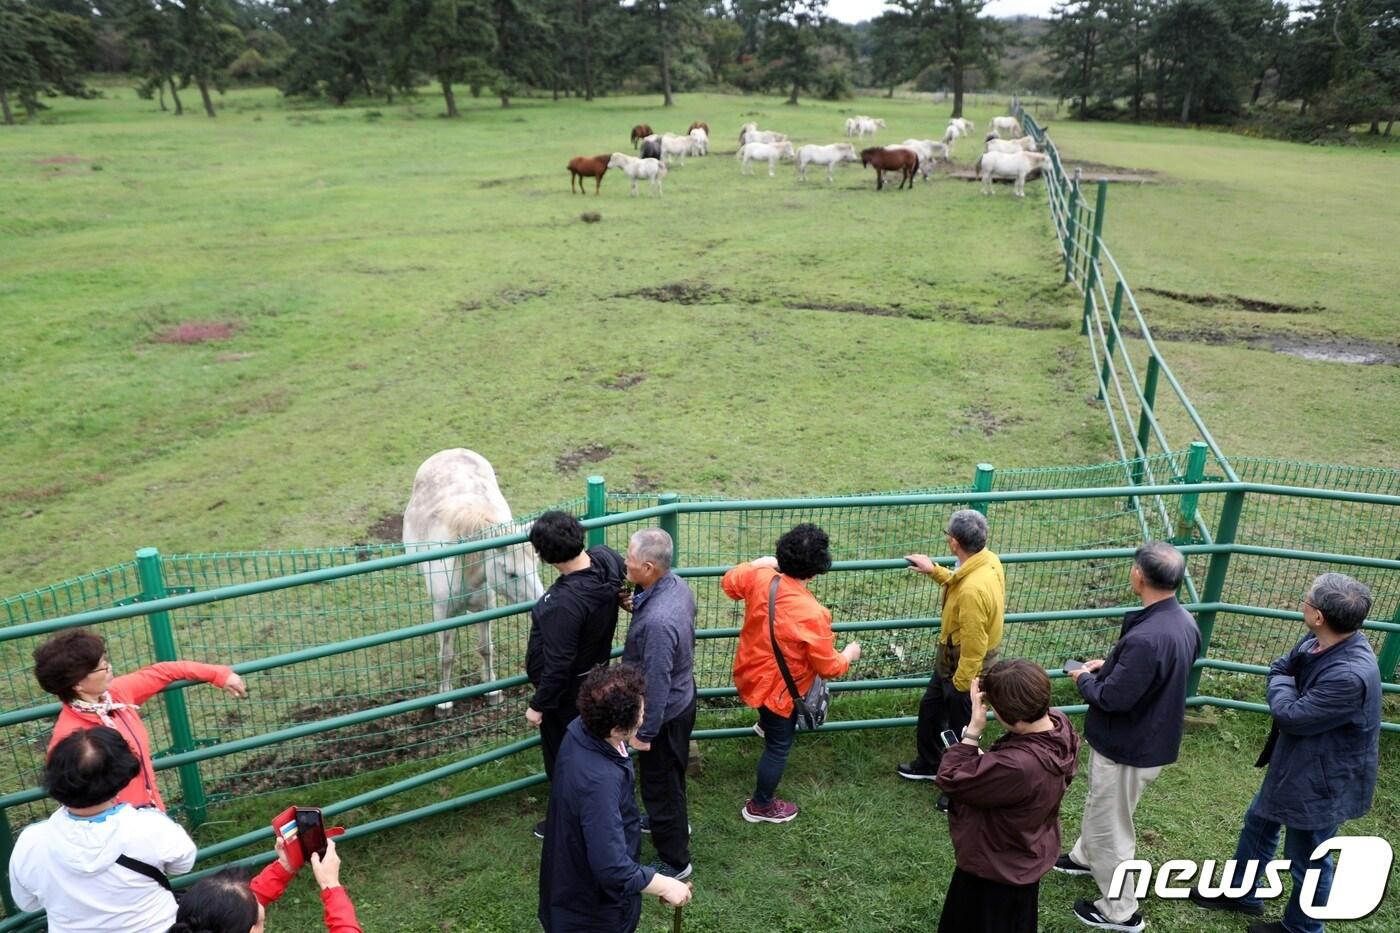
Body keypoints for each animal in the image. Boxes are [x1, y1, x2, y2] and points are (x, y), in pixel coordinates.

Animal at [403, 448, 543, 708]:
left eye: (536, 565)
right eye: (511, 573)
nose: (540, 601)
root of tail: (450, 451)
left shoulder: (486, 606)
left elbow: (485, 648)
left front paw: (492, 689)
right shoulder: (443, 613)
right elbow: (446, 655)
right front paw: (444, 700)